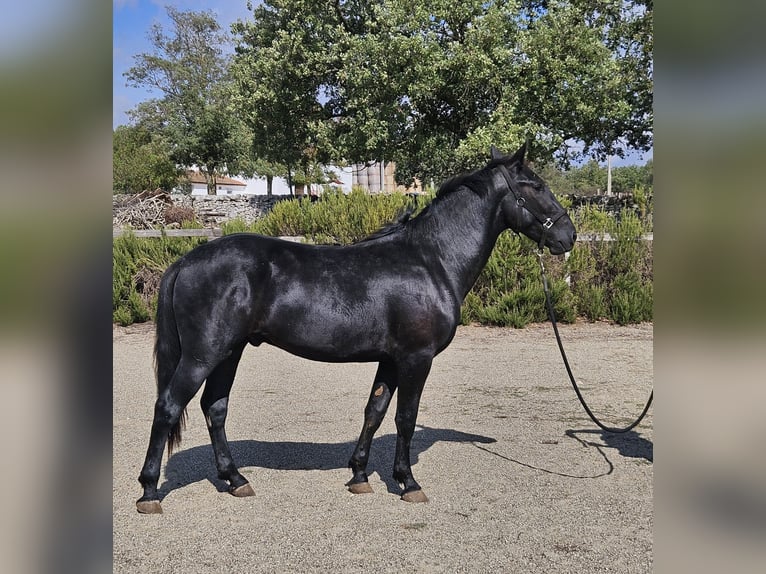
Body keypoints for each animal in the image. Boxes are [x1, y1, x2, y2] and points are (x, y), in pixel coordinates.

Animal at [140, 143, 576, 512]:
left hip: (229, 352)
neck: (431, 260)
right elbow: (405, 418)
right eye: (536, 186)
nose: (567, 236)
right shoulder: (416, 358)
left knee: (214, 408)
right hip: (203, 354)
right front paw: (407, 482)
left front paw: (360, 475)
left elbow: (375, 411)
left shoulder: (391, 360)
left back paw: (235, 479)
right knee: (168, 406)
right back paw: (149, 492)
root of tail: (187, 260)